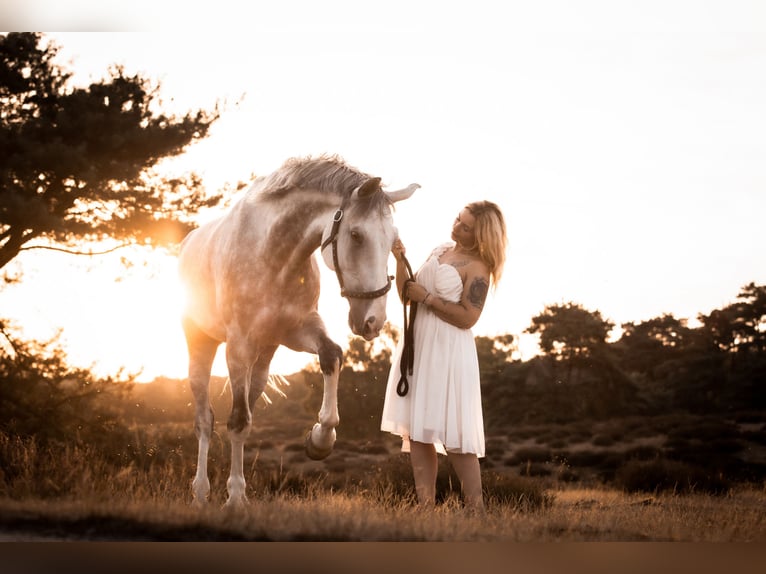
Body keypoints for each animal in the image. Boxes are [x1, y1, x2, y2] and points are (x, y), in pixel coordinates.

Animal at [178, 155, 420, 506]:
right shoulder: (237, 347)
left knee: (248, 402)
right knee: (204, 421)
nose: (373, 321)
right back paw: (201, 492)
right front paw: (235, 497)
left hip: (264, 357)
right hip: (202, 344)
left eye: (393, 241)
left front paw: (319, 440)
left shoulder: (297, 330)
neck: (274, 255)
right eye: (356, 235)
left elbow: (332, 355)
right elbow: (237, 422)